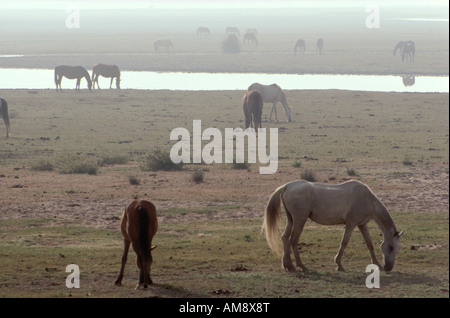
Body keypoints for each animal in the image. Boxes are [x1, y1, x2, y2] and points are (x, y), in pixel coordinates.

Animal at [262, 180, 402, 272]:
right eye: (391, 247)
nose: (388, 267)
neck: (367, 199)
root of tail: (287, 186)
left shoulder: (362, 224)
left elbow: (369, 244)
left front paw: (377, 264)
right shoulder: (351, 224)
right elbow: (344, 242)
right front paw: (339, 265)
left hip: (291, 219)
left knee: (285, 238)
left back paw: (288, 265)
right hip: (300, 219)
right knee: (293, 240)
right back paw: (301, 266)